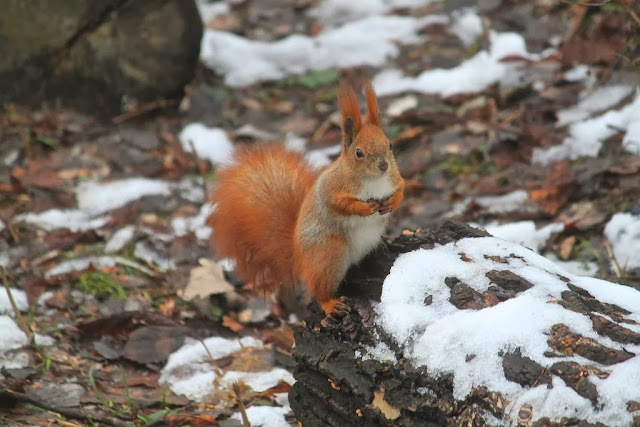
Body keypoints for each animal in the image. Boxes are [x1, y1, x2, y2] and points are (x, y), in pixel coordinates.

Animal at [208, 79, 402, 318]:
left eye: (390, 144)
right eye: (359, 153)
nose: (384, 165)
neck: (374, 180)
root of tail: (299, 258)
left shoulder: (395, 178)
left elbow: (401, 189)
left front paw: (392, 202)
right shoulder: (330, 189)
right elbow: (339, 204)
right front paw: (364, 208)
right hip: (329, 254)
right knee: (318, 290)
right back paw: (330, 304)